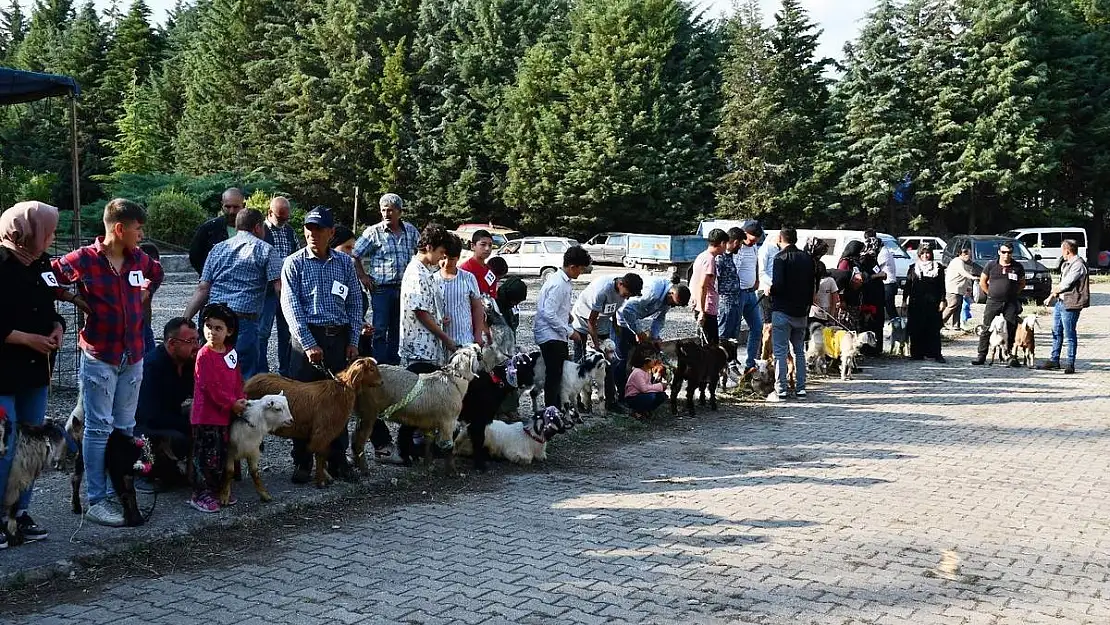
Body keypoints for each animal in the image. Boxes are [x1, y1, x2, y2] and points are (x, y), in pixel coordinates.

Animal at [243, 357, 381, 488]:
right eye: (371, 369)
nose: (381, 382)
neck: (341, 391)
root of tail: (248, 383)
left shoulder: (326, 432)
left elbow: (324, 454)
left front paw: (327, 477)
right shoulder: (322, 431)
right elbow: (320, 455)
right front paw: (321, 482)